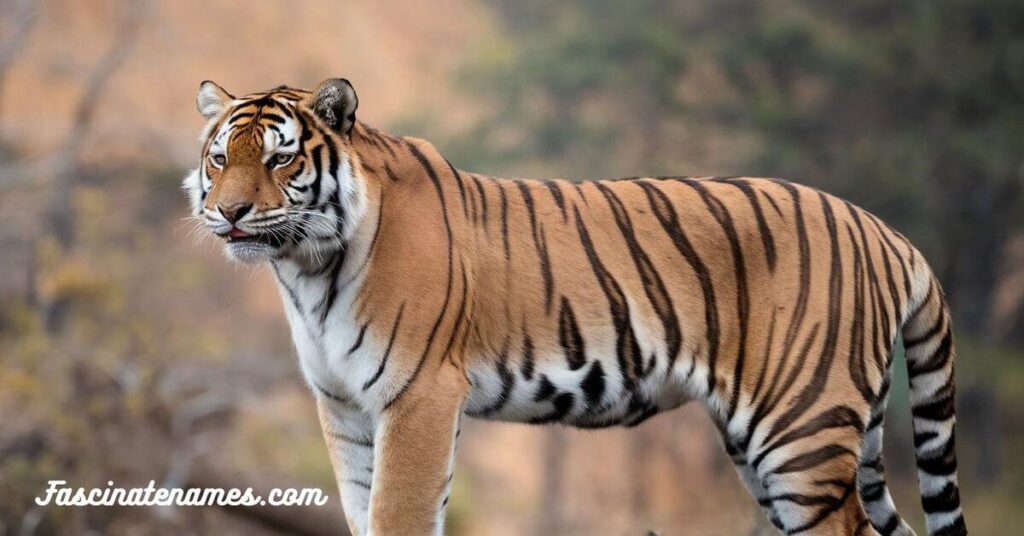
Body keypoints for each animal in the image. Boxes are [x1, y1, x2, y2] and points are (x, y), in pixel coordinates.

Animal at [183, 77, 967, 536]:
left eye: (280, 159)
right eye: (221, 158)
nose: (229, 211)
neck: (307, 269)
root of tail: (887, 231)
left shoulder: (418, 395)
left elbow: (400, 513)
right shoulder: (344, 406)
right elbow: (360, 506)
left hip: (801, 430)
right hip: (804, 437)